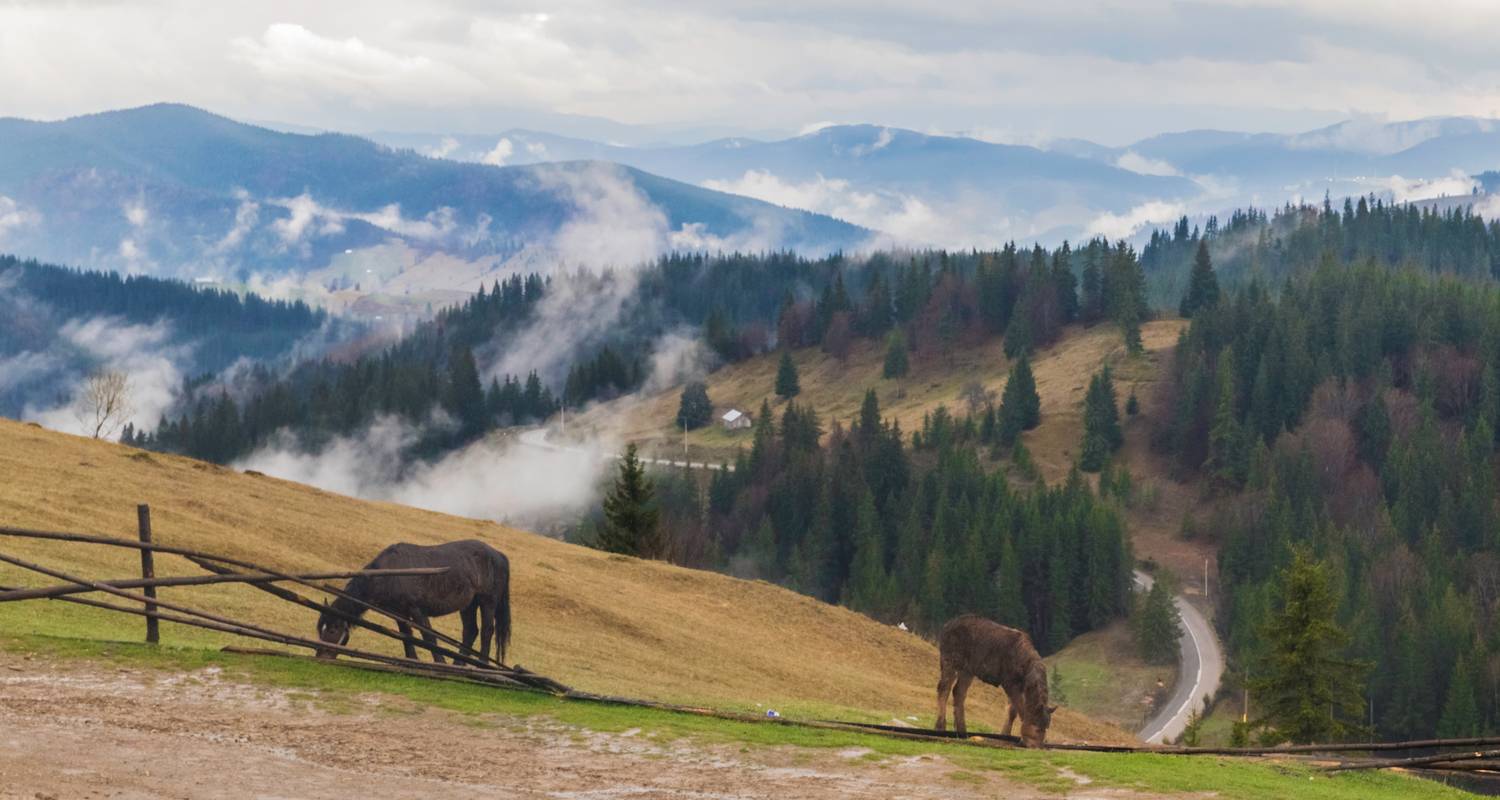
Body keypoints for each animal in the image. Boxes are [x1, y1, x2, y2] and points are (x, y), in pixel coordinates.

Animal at [313, 540, 513, 663]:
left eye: (332, 630)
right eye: (320, 629)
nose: (321, 656)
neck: (391, 573)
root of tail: (498, 554)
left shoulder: (418, 610)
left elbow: (428, 637)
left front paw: (439, 663)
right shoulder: (398, 612)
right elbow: (406, 634)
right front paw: (412, 660)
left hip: (487, 601)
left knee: (487, 631)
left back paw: (480, 663)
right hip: (468, 604)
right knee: (470, 631)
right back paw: (458, 665)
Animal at [936, 615, 1056, 744]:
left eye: (1047, 726)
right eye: (1037, 727)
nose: (1037, 745)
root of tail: (946, 626)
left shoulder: (1018, 685)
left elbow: (1012, 710)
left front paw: (1005, 735)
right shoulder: (1008, 681)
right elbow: (1020, 709)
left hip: (968, 670)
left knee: (958, 692)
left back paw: (962, 731)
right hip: (949, 658)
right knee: (944, 688)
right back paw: (940, 727)